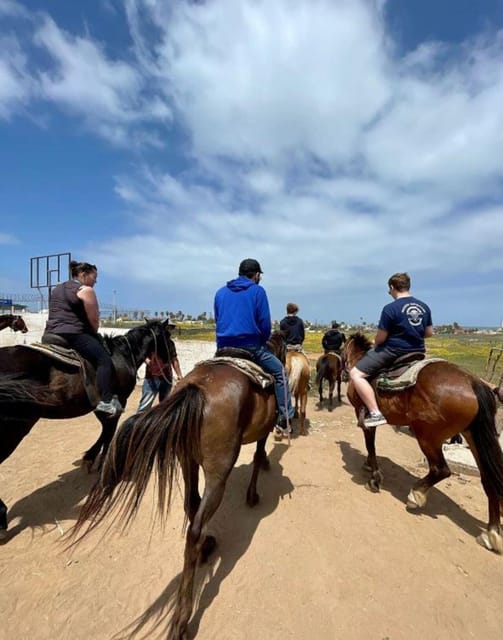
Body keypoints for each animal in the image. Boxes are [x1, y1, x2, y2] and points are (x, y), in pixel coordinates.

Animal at [0, 320, 173, 536]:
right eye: (168, 337)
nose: (172, 357)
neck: (123, 355)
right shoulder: (117, 401)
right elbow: (109, 431)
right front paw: (104, 462)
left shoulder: (101, 404)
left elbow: (105, 430)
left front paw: (92, 458)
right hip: (14, 429)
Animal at [73, 330, 290, 640]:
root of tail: (196, 388)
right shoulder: (263, 432)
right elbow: (260, 456)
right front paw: (253, 494)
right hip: (216, 472)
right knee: (194, 529)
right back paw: (182, 618)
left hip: (187, 460)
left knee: (191, 504)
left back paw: (207, 546)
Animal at [344, 332, 503, 552]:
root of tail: (472, 382)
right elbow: (370, 447)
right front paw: (369, 465)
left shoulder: (365, 418)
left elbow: (371, 445)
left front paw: (374, 477)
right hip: (472, 437)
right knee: (489, 479)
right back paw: (492, 533)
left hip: (427, 436)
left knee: (441, 469)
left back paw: (416, 495)